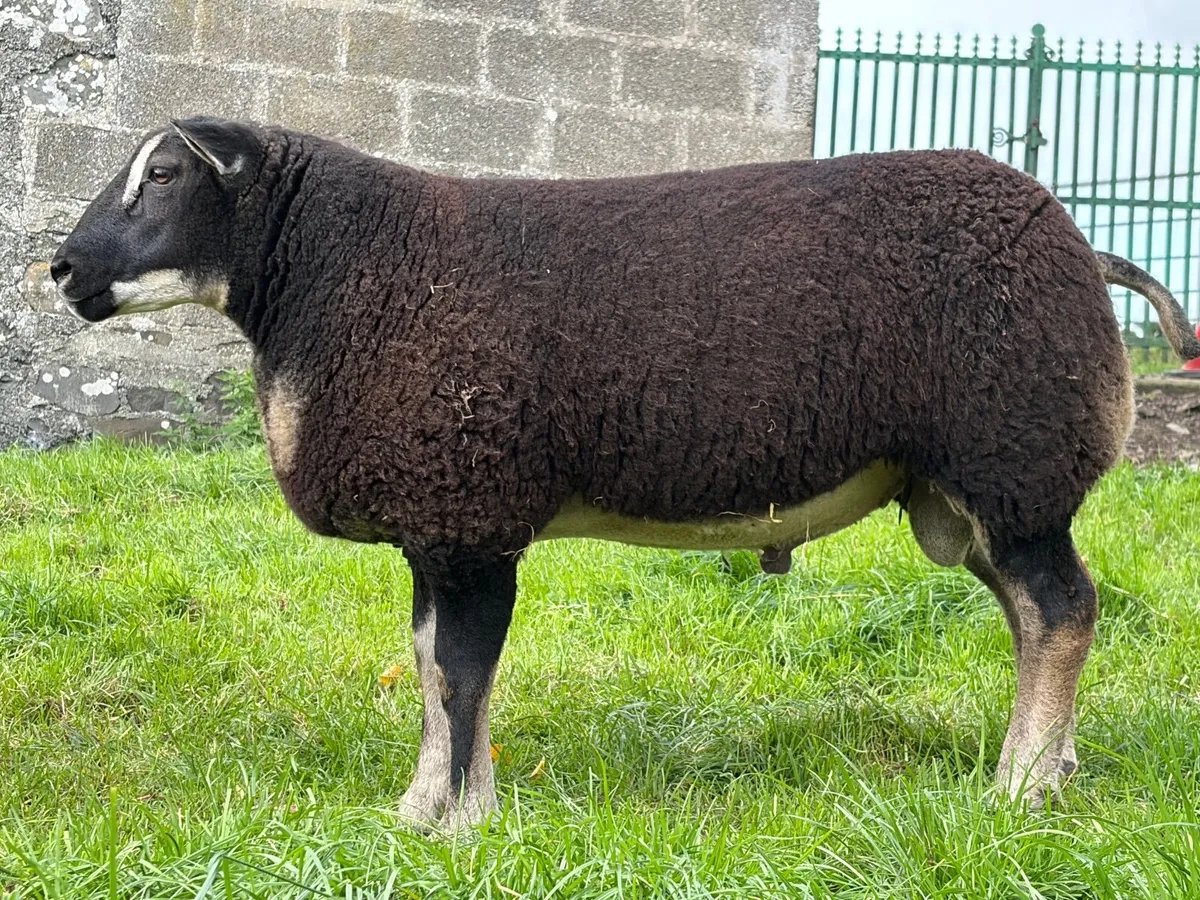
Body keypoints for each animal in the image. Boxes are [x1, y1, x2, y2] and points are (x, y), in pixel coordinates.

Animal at [51, 116, 1200, 831]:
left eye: (165, 174)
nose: (61, 269)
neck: (336, 276)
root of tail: (1084, 247)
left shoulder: (474, 517)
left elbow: (459, 675)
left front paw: (459, 824)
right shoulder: (441, 524)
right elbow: (429, 671)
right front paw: (422, 808)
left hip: (1012, 460)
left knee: (1063, 610)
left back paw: (1017, 789)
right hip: (970, 489)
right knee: (1037, 616)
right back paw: (1050, 770)